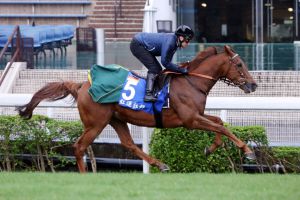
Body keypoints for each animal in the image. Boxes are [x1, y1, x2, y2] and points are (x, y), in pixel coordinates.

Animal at [17, 45, 258, 172]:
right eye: (239, 64)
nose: (253, 85)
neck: (192, 82)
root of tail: (82, 85)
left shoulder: (196, 115)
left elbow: (219, 123)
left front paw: (210, 148)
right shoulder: (190, 120)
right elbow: (222, 127)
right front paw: (248, 151)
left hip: (116, 119)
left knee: (129, 144)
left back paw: (159, 164)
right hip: (96, 123)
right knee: (79, 147)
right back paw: (86, 176)